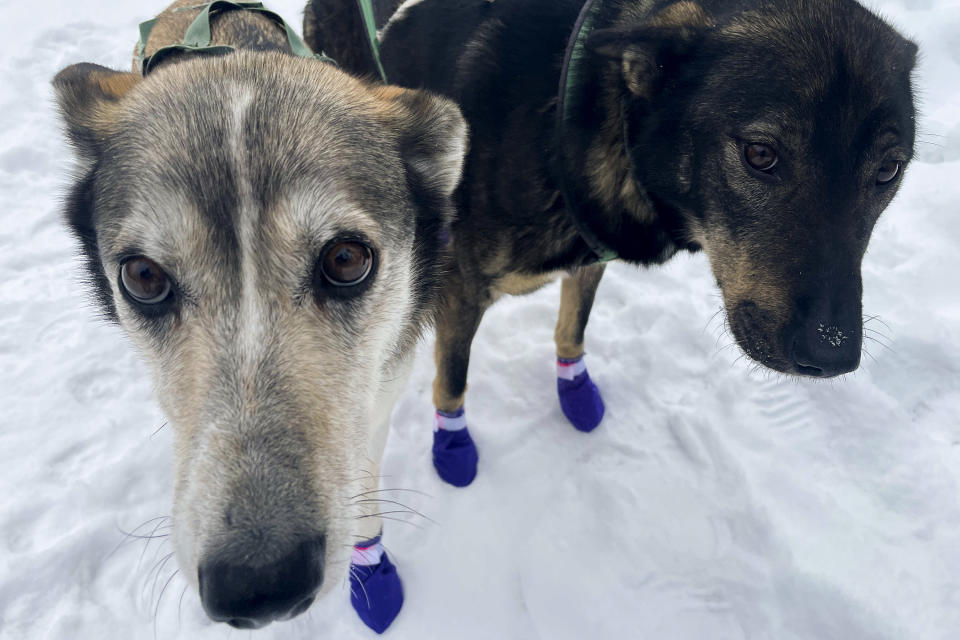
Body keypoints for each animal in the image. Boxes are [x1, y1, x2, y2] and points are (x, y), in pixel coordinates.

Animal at [306, 0, 916, 488]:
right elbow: (453, 378)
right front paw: (452, 444)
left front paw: (574, 389)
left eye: (889, 170)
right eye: (761, 154)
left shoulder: (589, 258)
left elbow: (572, 327)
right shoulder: (461, 290)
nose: (831, 353)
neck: (577, 116)